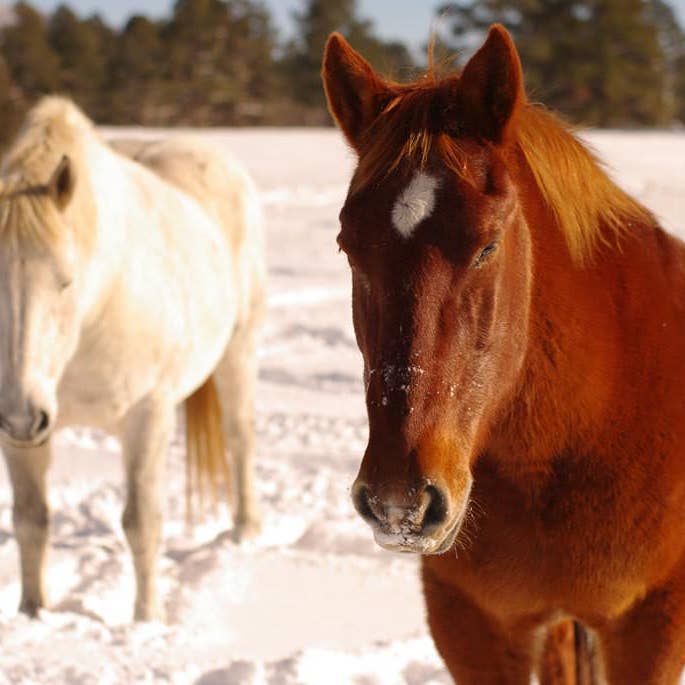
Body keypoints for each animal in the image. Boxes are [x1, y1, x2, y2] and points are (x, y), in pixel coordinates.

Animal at [0, 96, 266, 621]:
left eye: (65, 280)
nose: (24, 414)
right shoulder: (19, 433)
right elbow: (30, 520)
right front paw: (32, 612)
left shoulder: (147, 416)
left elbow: (142, 522)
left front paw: (148, 620)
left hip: (239, 351)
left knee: (240, 436)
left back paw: (245, 532)